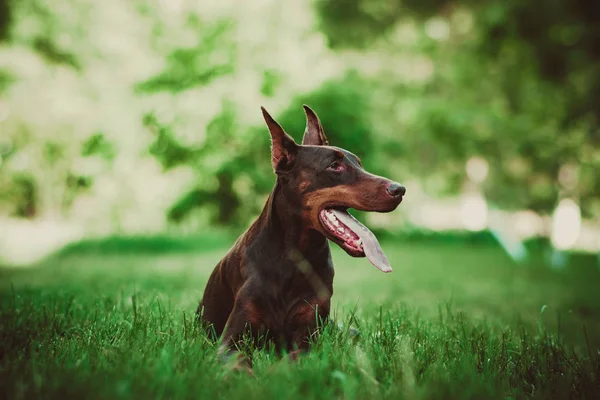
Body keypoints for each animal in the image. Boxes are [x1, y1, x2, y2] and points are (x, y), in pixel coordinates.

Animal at [196, 105, 404, 372]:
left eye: (359, 163)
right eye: (334, 166)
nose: (400, 190)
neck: (295, 257)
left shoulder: (310, 336)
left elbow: (292, 358)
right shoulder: (231, 340)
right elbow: (239, 361)